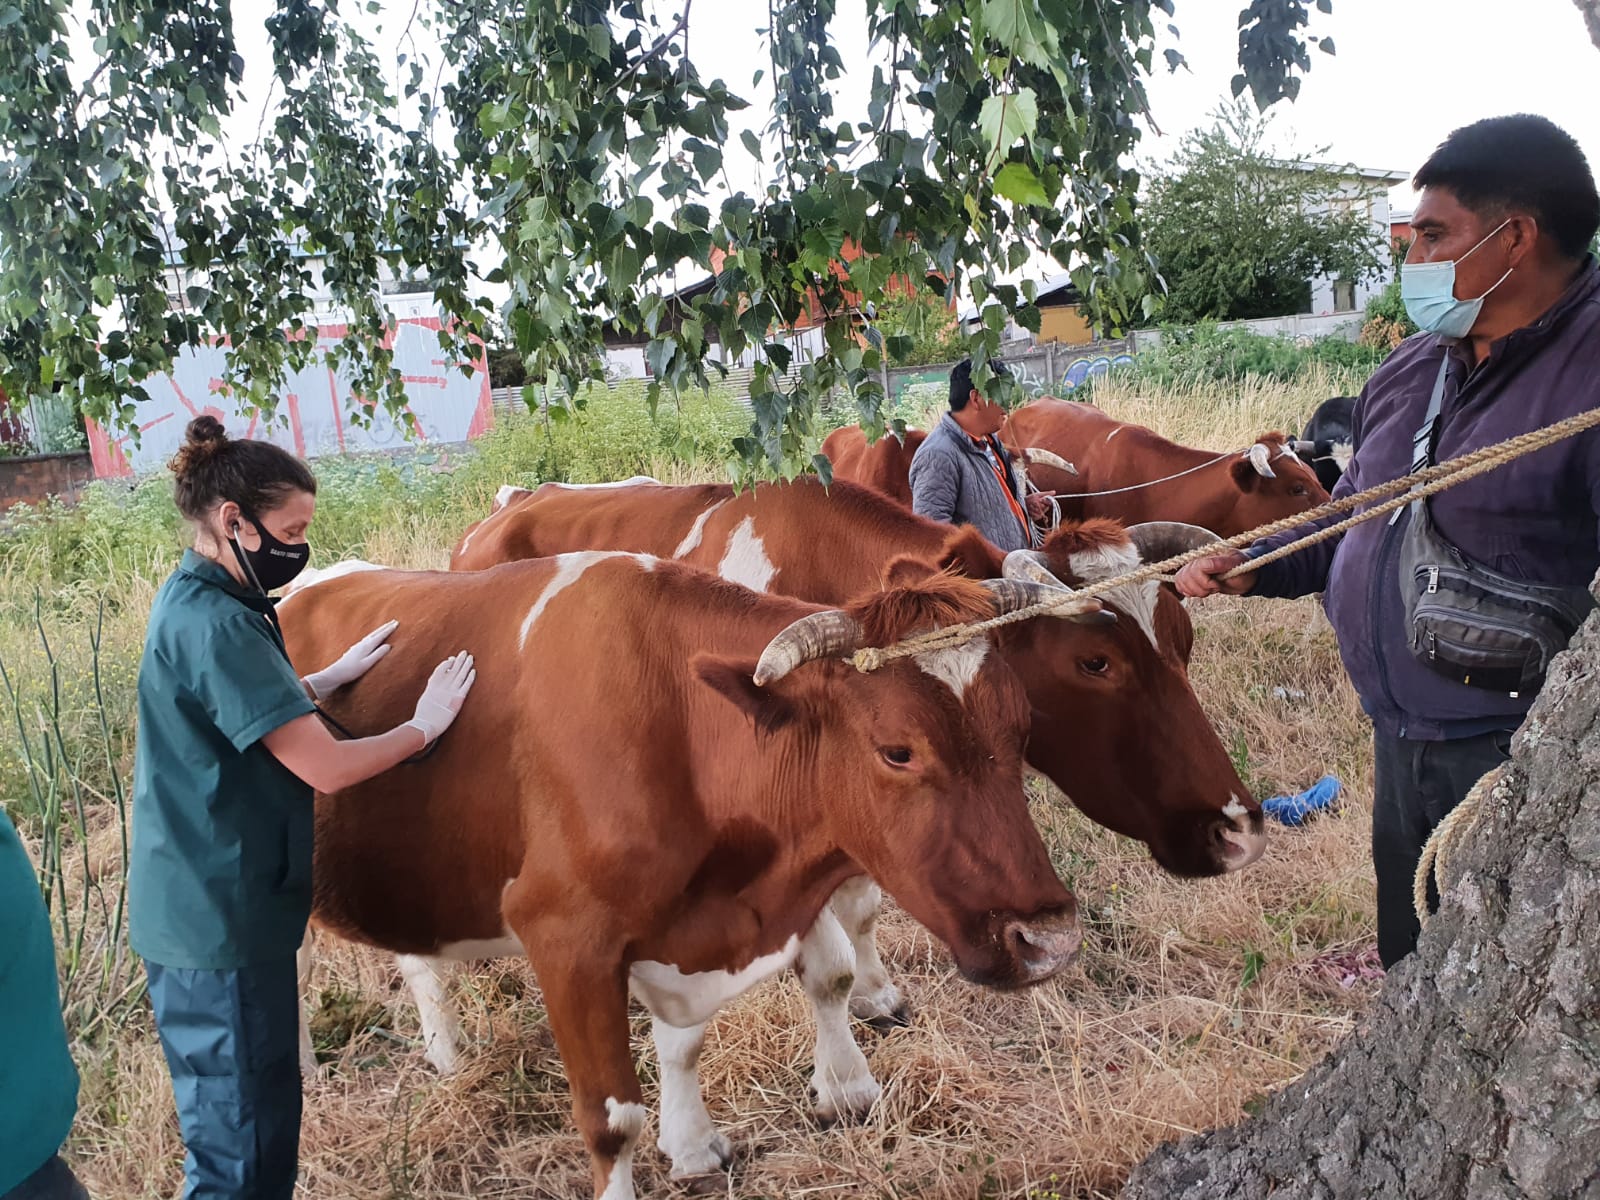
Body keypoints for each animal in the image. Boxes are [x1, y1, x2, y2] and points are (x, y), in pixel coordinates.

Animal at [281, 560, 1081, 1196]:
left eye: (1023, 727)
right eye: (897, 751)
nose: (1048, 939)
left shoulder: (730, 902)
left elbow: (763, 1007)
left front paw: (702, 1141)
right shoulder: (567, 938)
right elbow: (611, 1117)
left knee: (415, 960)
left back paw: (445, 1055)